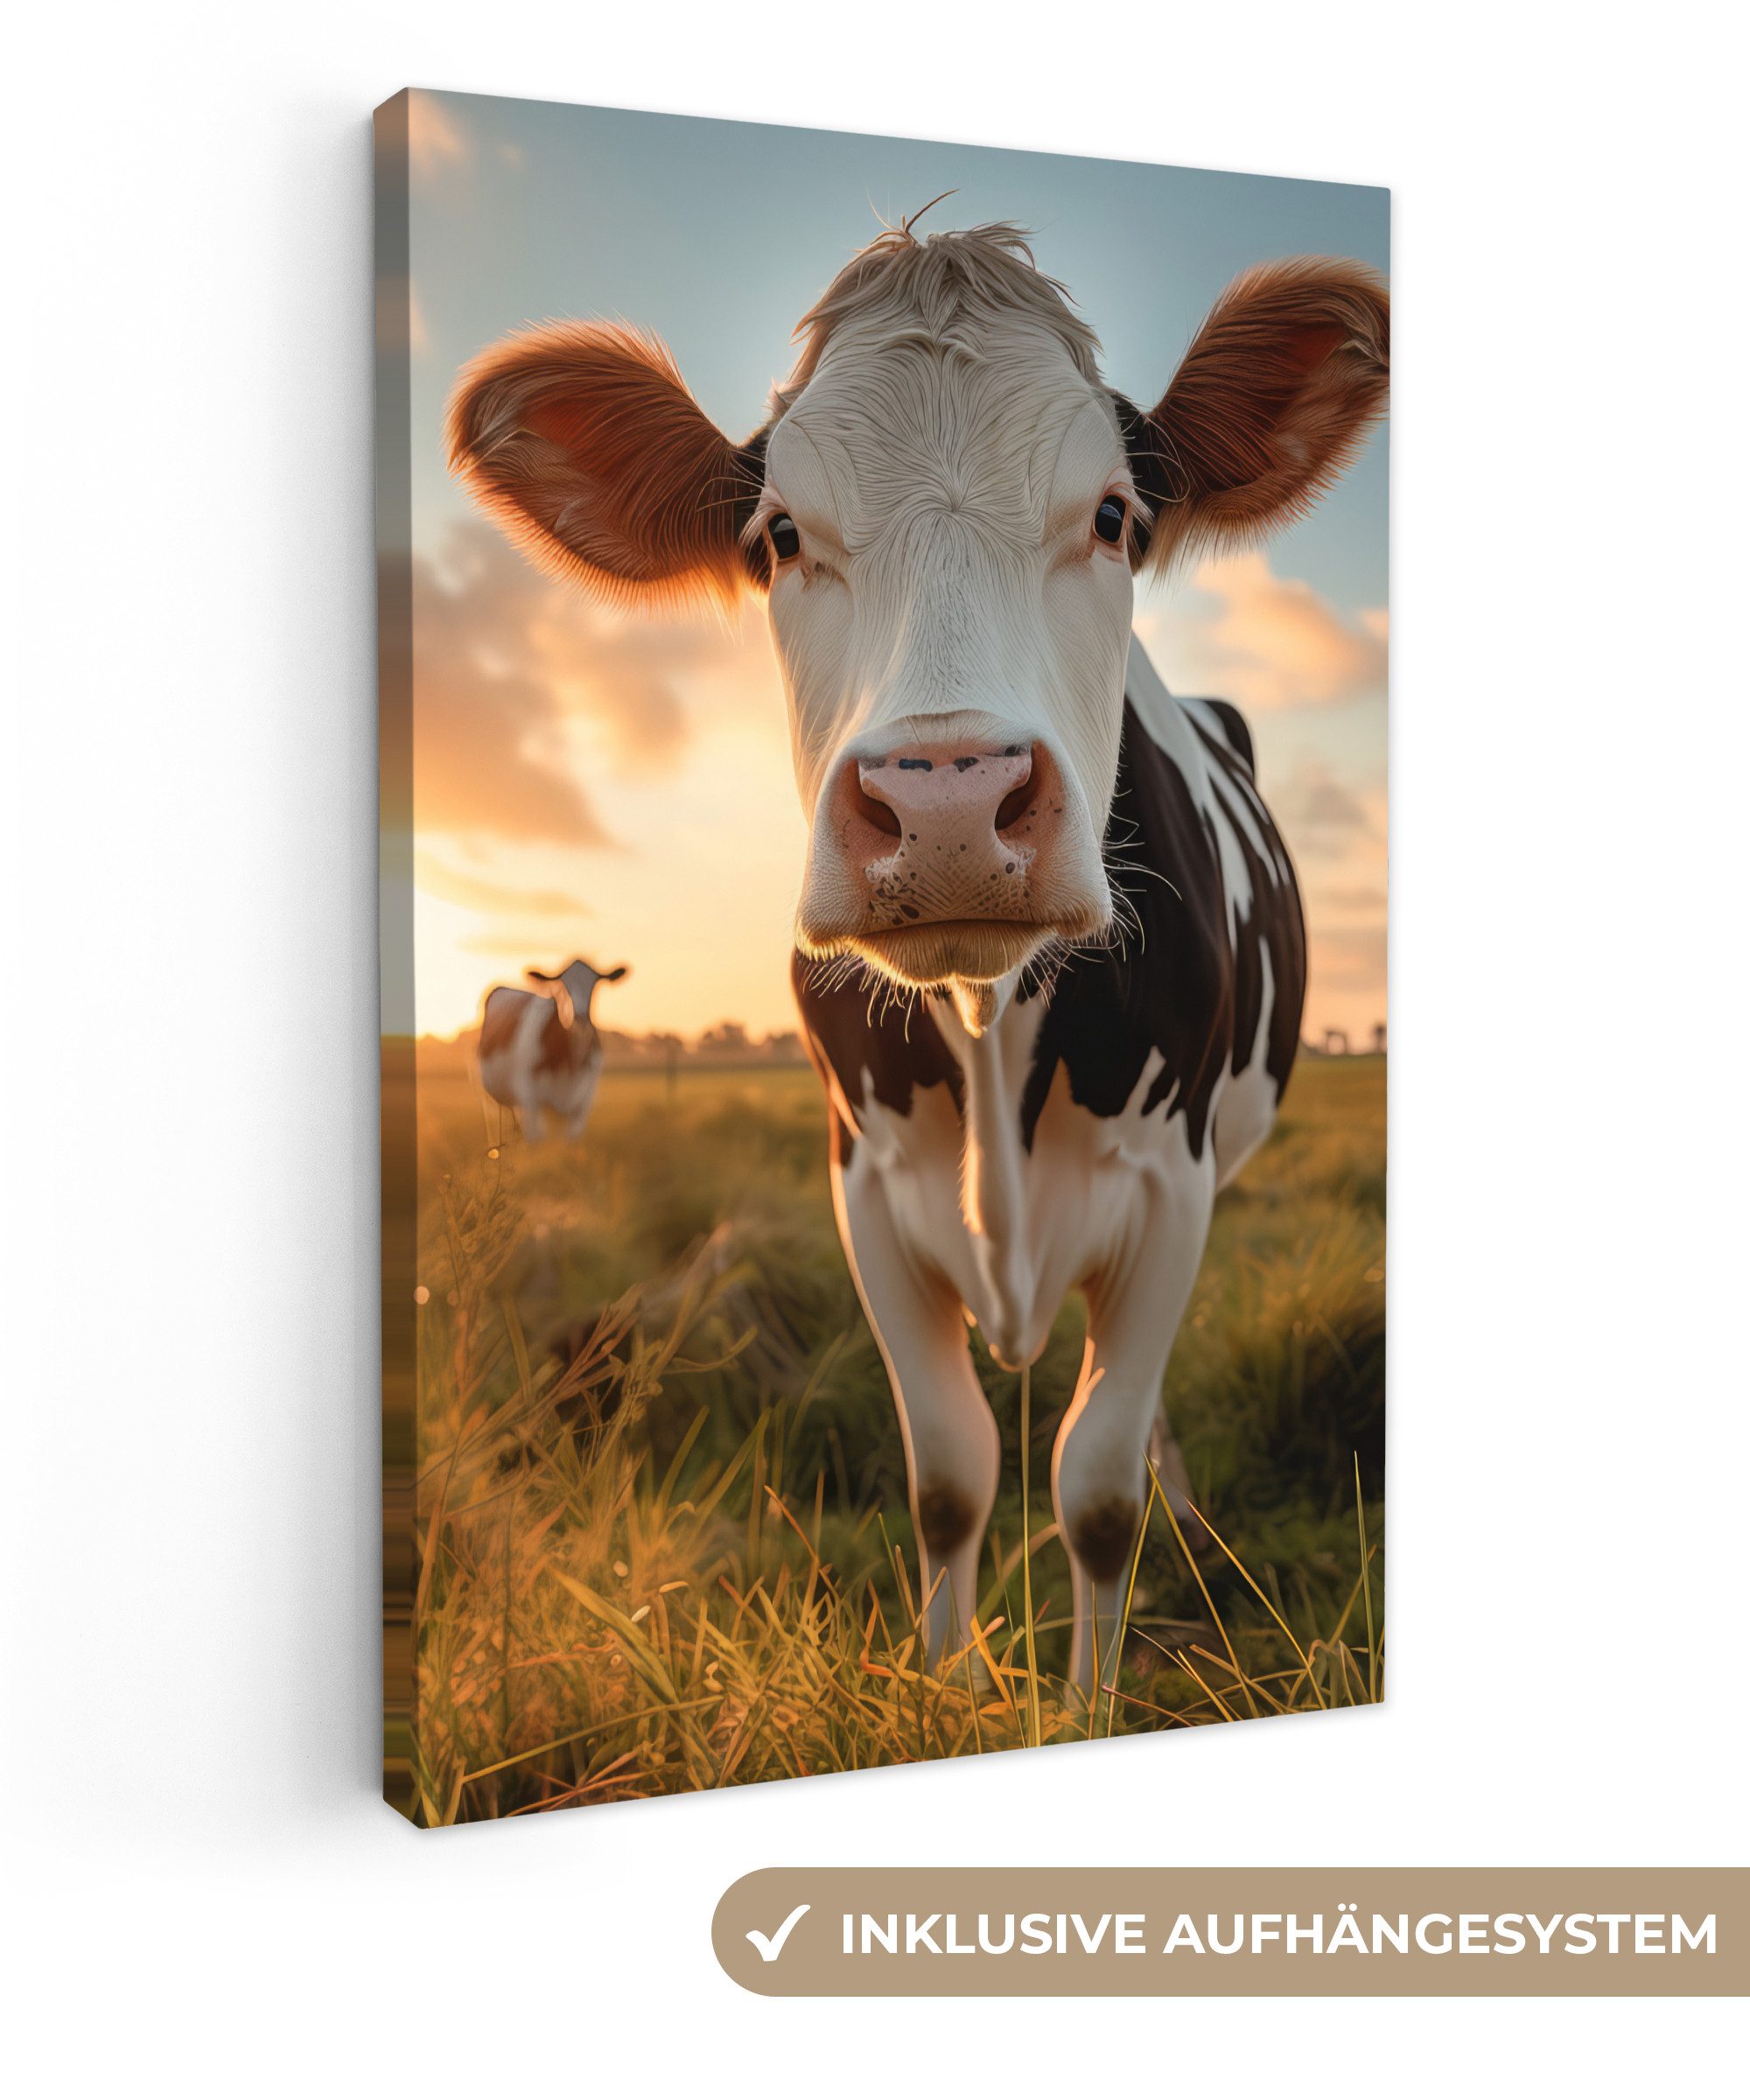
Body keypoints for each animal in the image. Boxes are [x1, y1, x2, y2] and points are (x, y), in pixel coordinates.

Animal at [477, 958, 628, 1141]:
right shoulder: (530, 1097)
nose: (579, 1017)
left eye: (594, 986)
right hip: (493, 1098)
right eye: (563, 987)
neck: (569, 1063)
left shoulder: (583, 1103)